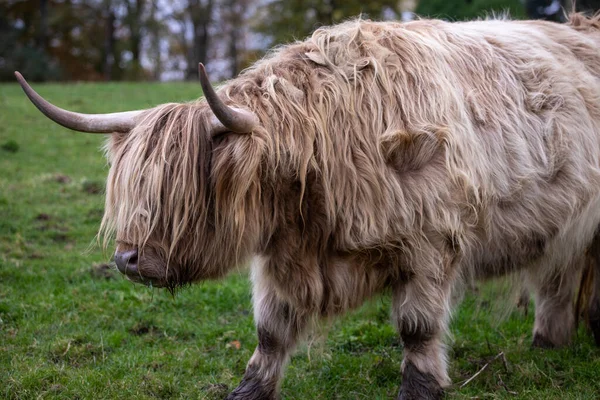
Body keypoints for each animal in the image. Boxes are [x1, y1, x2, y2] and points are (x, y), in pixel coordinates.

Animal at [15, 13, 600, 400]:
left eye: (184, 192)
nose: (127, 260)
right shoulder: (280, 254)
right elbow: (270, 332)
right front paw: (247, 391)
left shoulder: (431, 243)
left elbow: (417, 328)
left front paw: (421, 389)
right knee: (558, 278)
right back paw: (547, 345)